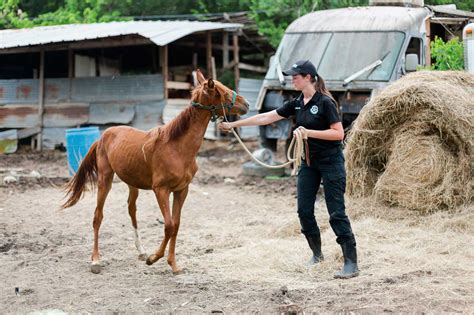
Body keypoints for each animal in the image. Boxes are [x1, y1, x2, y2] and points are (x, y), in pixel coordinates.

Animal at [61, 69, 250, 274]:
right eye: (222, 91)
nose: (246, 104)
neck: (177, 148)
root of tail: (104, 136)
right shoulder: (161, 190)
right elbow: (168, 225)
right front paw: (154, 258)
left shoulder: (181, 190)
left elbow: (176, 224)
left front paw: (173, 264)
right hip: (105, 179)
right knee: (98, 216)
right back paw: (96, 260)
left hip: (132, 183)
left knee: (131, 210)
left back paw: (141, 251)